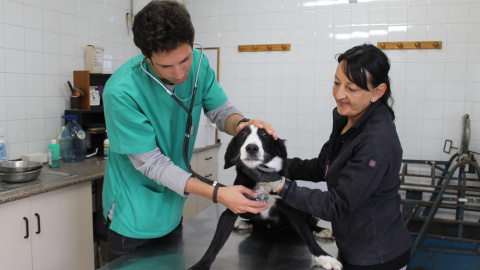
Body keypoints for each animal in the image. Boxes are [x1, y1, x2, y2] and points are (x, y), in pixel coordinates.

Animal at [188, 125, 342, 270]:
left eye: (265, 135)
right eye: (242, 134)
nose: (251, 148)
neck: (262, 182)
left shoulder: (291, 206)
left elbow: (306, 234)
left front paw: (324, 257)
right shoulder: (233, 205)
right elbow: (216, 242)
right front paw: (201, 264)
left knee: (309, 223)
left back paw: (321, 230)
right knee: (256, 222)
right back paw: (244, 223)